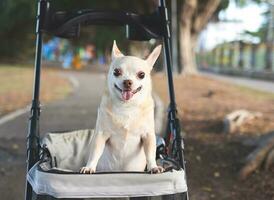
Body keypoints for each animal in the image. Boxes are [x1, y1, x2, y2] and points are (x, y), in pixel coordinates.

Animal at [80, 41, 164, 173]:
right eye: (116, 72)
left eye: (141, 75)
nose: (127, 81)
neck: (127, 106)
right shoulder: (100, 135)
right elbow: (95, 153)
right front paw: (89, 167)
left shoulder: (148, 136)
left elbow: (150, 153)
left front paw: (153, 167)